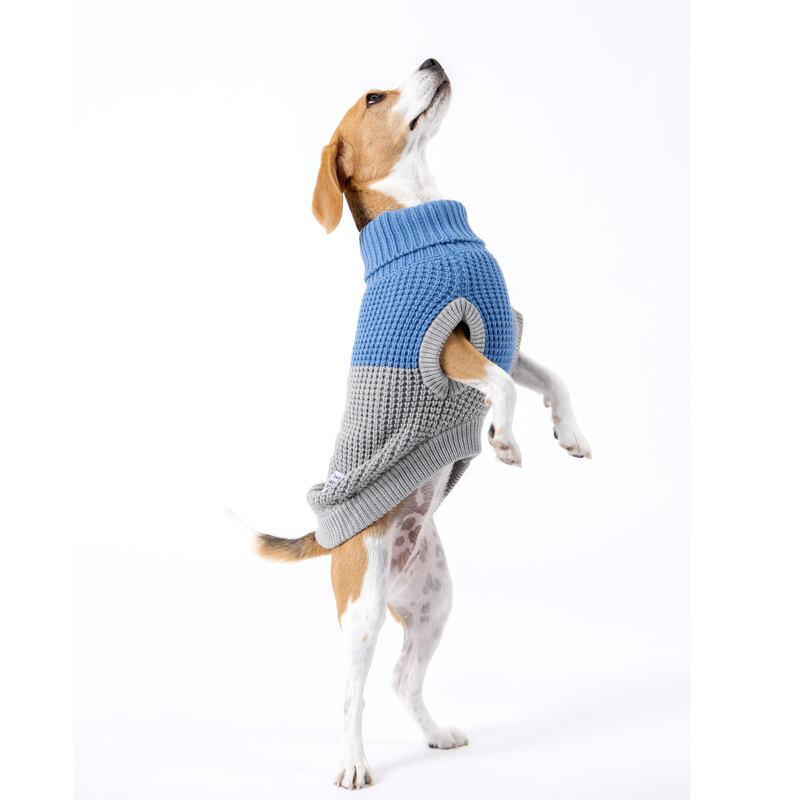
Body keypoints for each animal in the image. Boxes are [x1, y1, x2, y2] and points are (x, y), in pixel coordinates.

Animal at [253, 58, 591, 790]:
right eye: (374, 97)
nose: (432, 60)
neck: (420, 217)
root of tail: (334, 538)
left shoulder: (505, 338)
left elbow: (551, 378)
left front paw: (571, 433)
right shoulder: (450, 348)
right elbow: (502, 390)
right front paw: (505, 440)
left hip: (434, 602)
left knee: (404, 679)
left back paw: (435, 733)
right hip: (363, 612)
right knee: (352, 692)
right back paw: (353, 764)